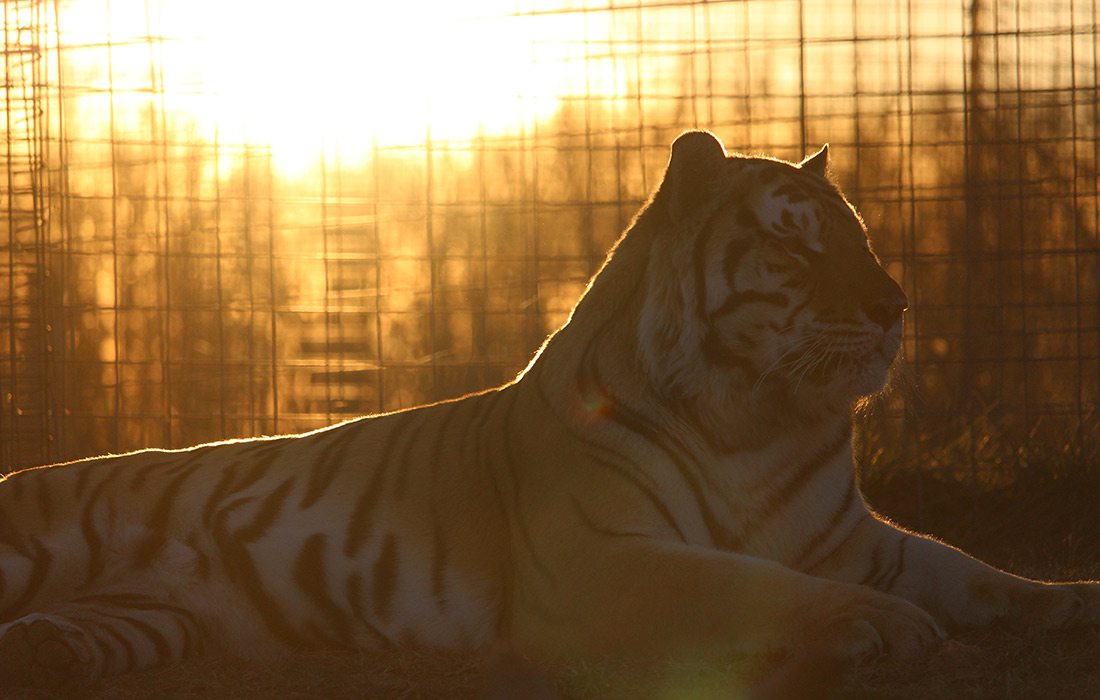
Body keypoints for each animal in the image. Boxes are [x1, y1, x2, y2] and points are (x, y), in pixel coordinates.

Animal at [2, 128, 1100, 691]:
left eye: (860, 236)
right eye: (796, 242)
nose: (893, 304)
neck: (760, 421)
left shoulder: (855, 540)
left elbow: (986, 574)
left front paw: (1071, 603)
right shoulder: (598, 556)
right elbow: (749, 583)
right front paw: (884, 628)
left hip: (149, 622)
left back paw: (39, 649)